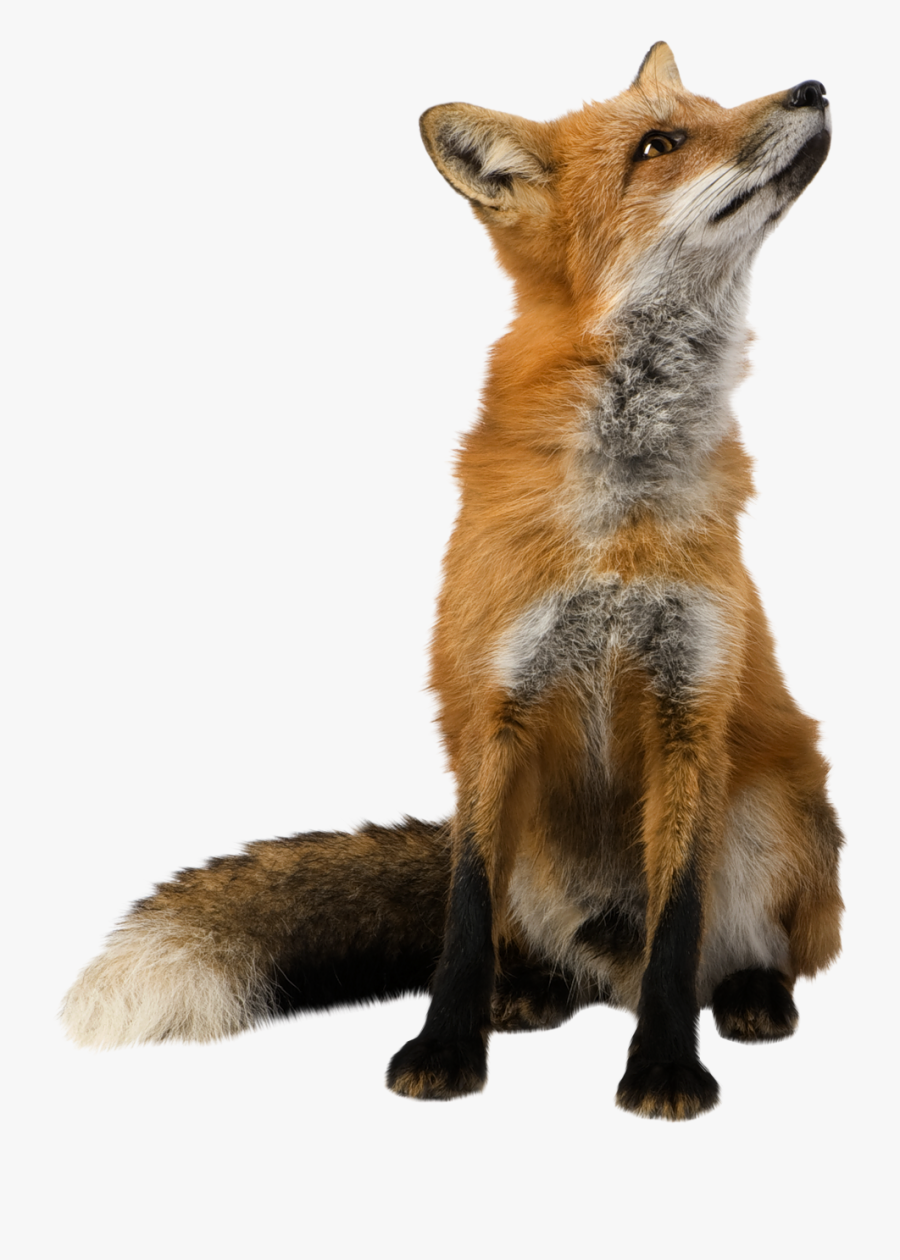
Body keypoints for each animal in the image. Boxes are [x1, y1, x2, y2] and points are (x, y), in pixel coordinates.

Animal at [62, 43, 842, 1121]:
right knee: (536, 944)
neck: (617, 514)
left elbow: (680, 923)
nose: (813, 87)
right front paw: (444, 1051)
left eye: (713, 104)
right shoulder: (490, 709)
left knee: (730, 954)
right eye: (661, 142)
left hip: (778, 814)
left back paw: (750, 994)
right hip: (535, 853)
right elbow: (463, 918)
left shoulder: (692, 707)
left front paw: (663, 1070)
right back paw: (531, 991)